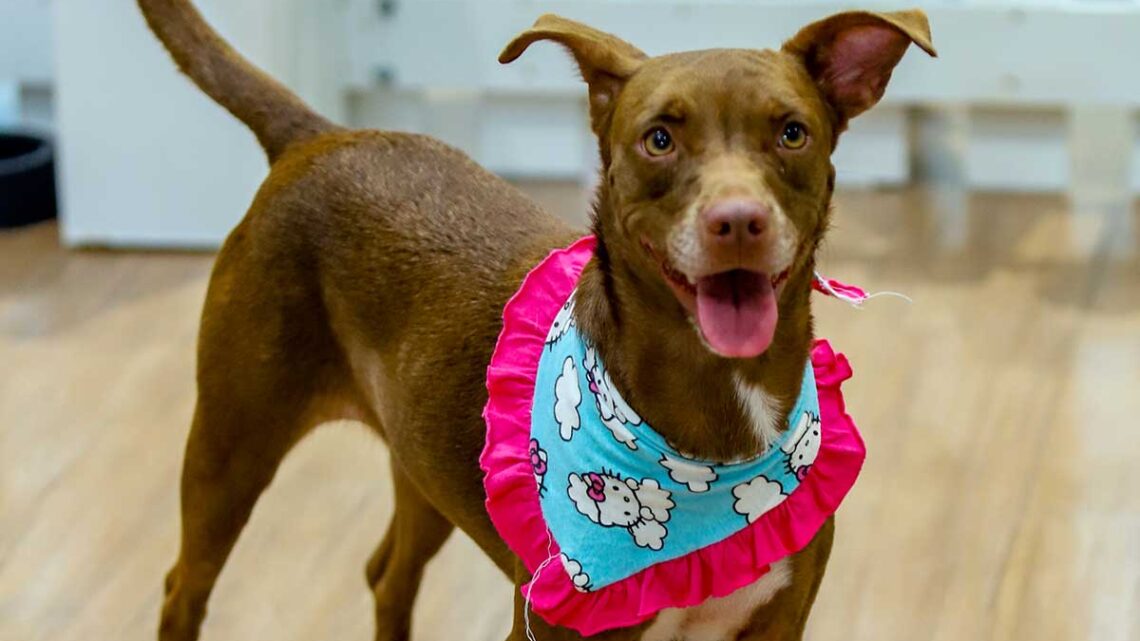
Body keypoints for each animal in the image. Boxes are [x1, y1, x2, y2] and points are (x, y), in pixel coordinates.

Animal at [135, 2, 934, 634]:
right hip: (233, 440)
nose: (738, 222)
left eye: (792, 133)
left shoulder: (780, 619)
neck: (716, 443)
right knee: (183, 586)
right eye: (660, 138)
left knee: (385, 575)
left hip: (423, 460)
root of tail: (321, 134)